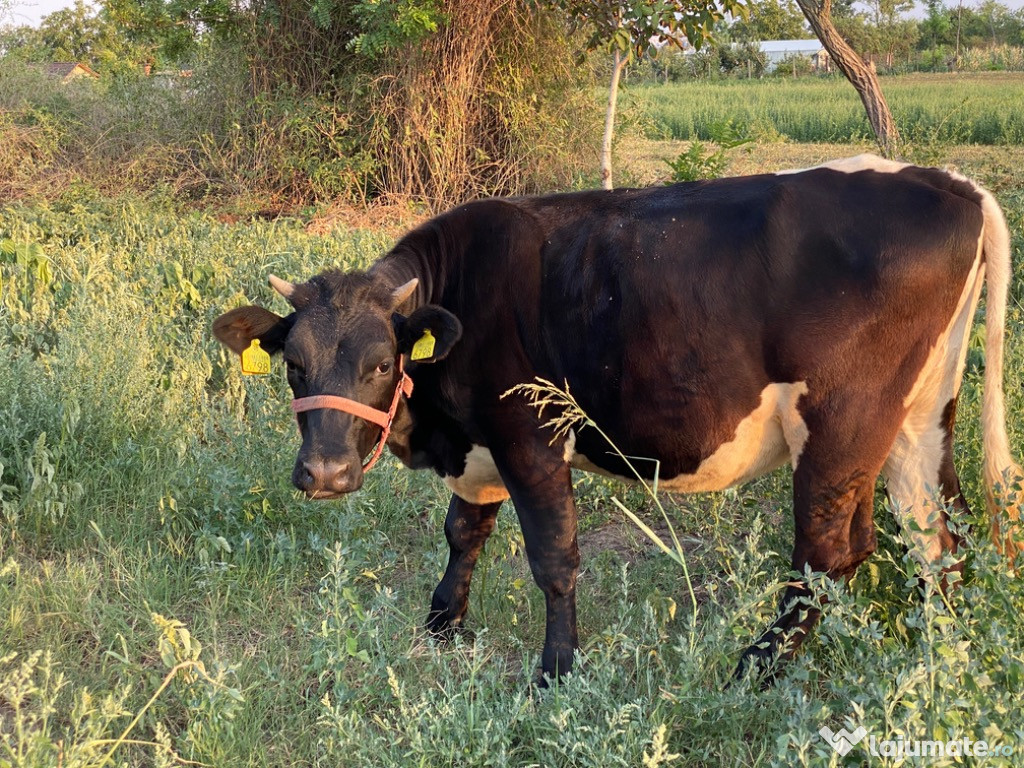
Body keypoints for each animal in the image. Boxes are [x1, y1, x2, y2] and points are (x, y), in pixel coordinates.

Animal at [211, 153, 1019, 684]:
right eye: (293, 364)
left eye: (382, 363)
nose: (325, 473)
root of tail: (949, 182)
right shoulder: (478, 451)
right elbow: (463, 532)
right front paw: (441, 627)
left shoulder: (529, 437)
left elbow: (554, 558)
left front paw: (556, 671)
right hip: (921, 418)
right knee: (940, 537)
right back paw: (939, 658)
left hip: (841, 423)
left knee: (832, 553)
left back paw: (752, 670)